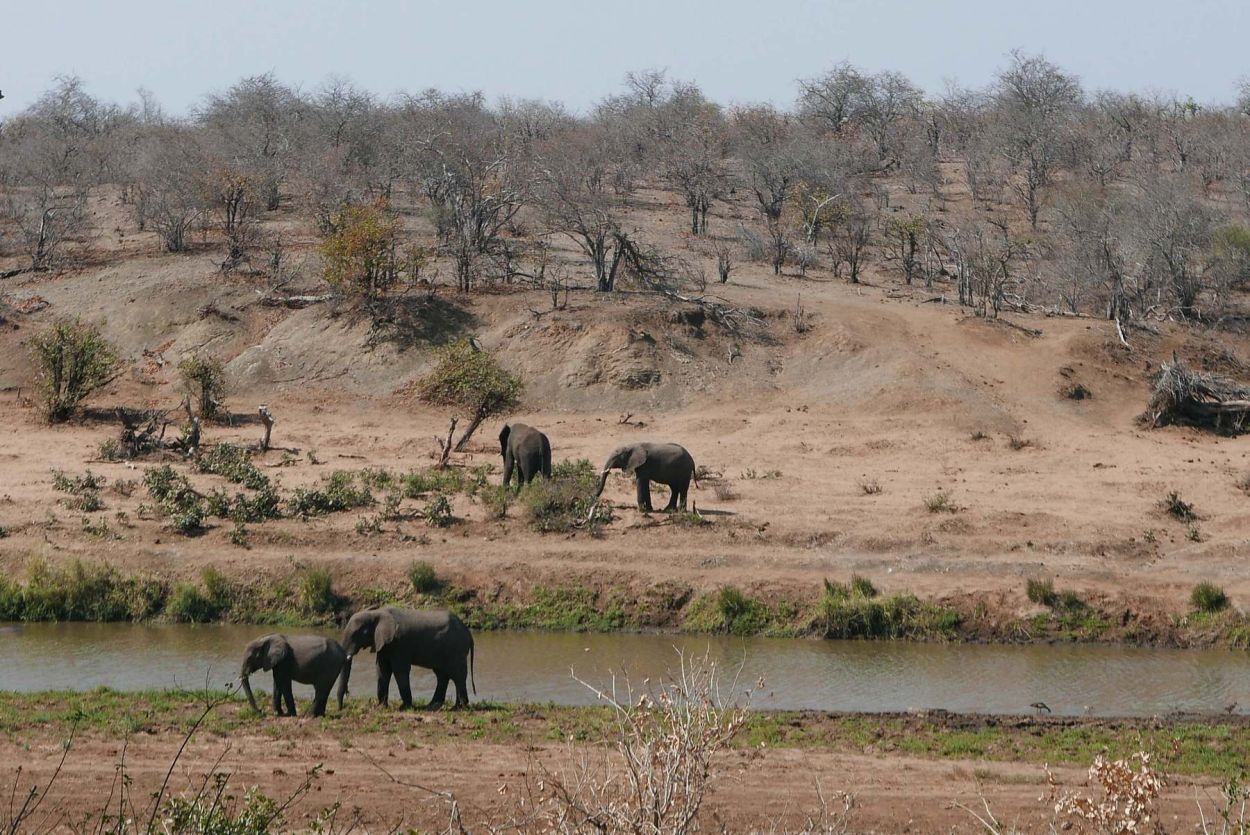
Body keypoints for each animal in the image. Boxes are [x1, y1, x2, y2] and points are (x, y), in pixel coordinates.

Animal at [340, 607, 475, 710]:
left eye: (359, 633)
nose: (348, 693)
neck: (377, 612)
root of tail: (468, 632)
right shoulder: (384, 644)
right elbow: (382, 670)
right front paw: (381, 707)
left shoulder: (399, 644)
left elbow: (399, 670)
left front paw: (404, 707)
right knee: (443, 675)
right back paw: (433, 705)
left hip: (456, 648)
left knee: (457, 675)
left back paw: (459, 707)